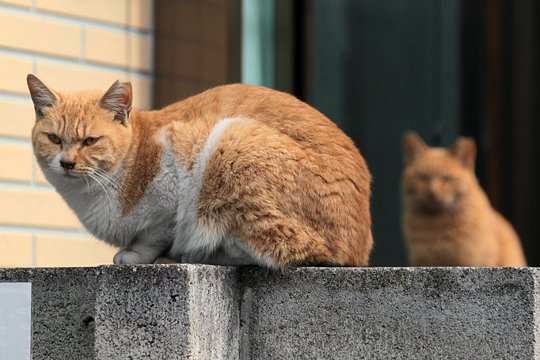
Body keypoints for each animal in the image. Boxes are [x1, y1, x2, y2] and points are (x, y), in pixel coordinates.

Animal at [27, 74, 374, 268]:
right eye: (54, 139)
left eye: (90, 140)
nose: (67, 162)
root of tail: (359, 249)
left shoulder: (173, 185)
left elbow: (154, 235)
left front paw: (135, 255)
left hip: (231, 141)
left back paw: (195, 255)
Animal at [400, 133, 528, 268]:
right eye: (423, 177)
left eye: (447, 178)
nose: (432, 191)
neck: (436, 225)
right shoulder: (421, 261)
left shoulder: (470, 261)